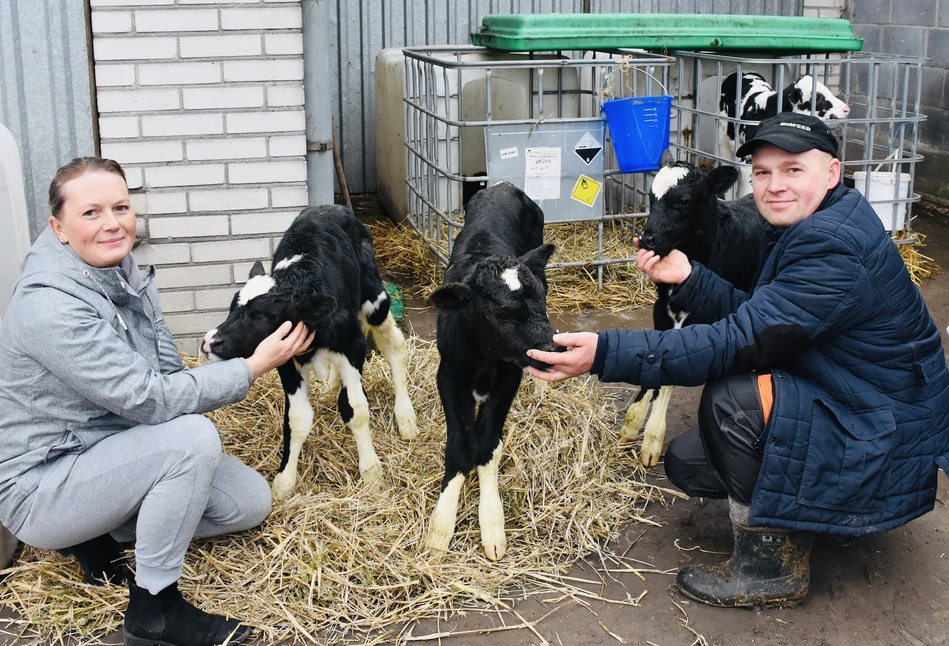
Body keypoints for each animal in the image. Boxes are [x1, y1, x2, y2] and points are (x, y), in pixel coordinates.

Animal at [204, 205, 414, 498]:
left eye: (262, 314)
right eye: (232, 305)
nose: (212, 341)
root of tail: (330, 207)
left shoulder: (351, 344)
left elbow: (357, 409)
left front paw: (372, 473)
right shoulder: (286, 359)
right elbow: (297, 418)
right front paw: (284, 482)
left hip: (375, 298)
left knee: (394, 346)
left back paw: (406, 417)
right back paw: (332, 387)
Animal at [426, 182, 560, 560]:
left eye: (539, 298)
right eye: (501, 314)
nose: (551, 348)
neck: (484, 358)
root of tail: (503, 186)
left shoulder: (508, 377)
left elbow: (486, 443)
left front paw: (492, 523)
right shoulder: (449, 375)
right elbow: (460, 444)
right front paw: (441, 526)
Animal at [624, 161, 772, 466]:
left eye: (683, 201)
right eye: (651, 197)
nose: (647, 239)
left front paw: (652, 440)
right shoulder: (662, 309)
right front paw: (632, 423)